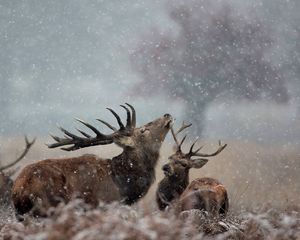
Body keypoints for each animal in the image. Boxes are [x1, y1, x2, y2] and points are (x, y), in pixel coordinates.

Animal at [11, 103, 172, 218]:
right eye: (143, 130)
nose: (167, 115)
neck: (123, 186)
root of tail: (21, 188)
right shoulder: (104, 205)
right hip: (49, 206)